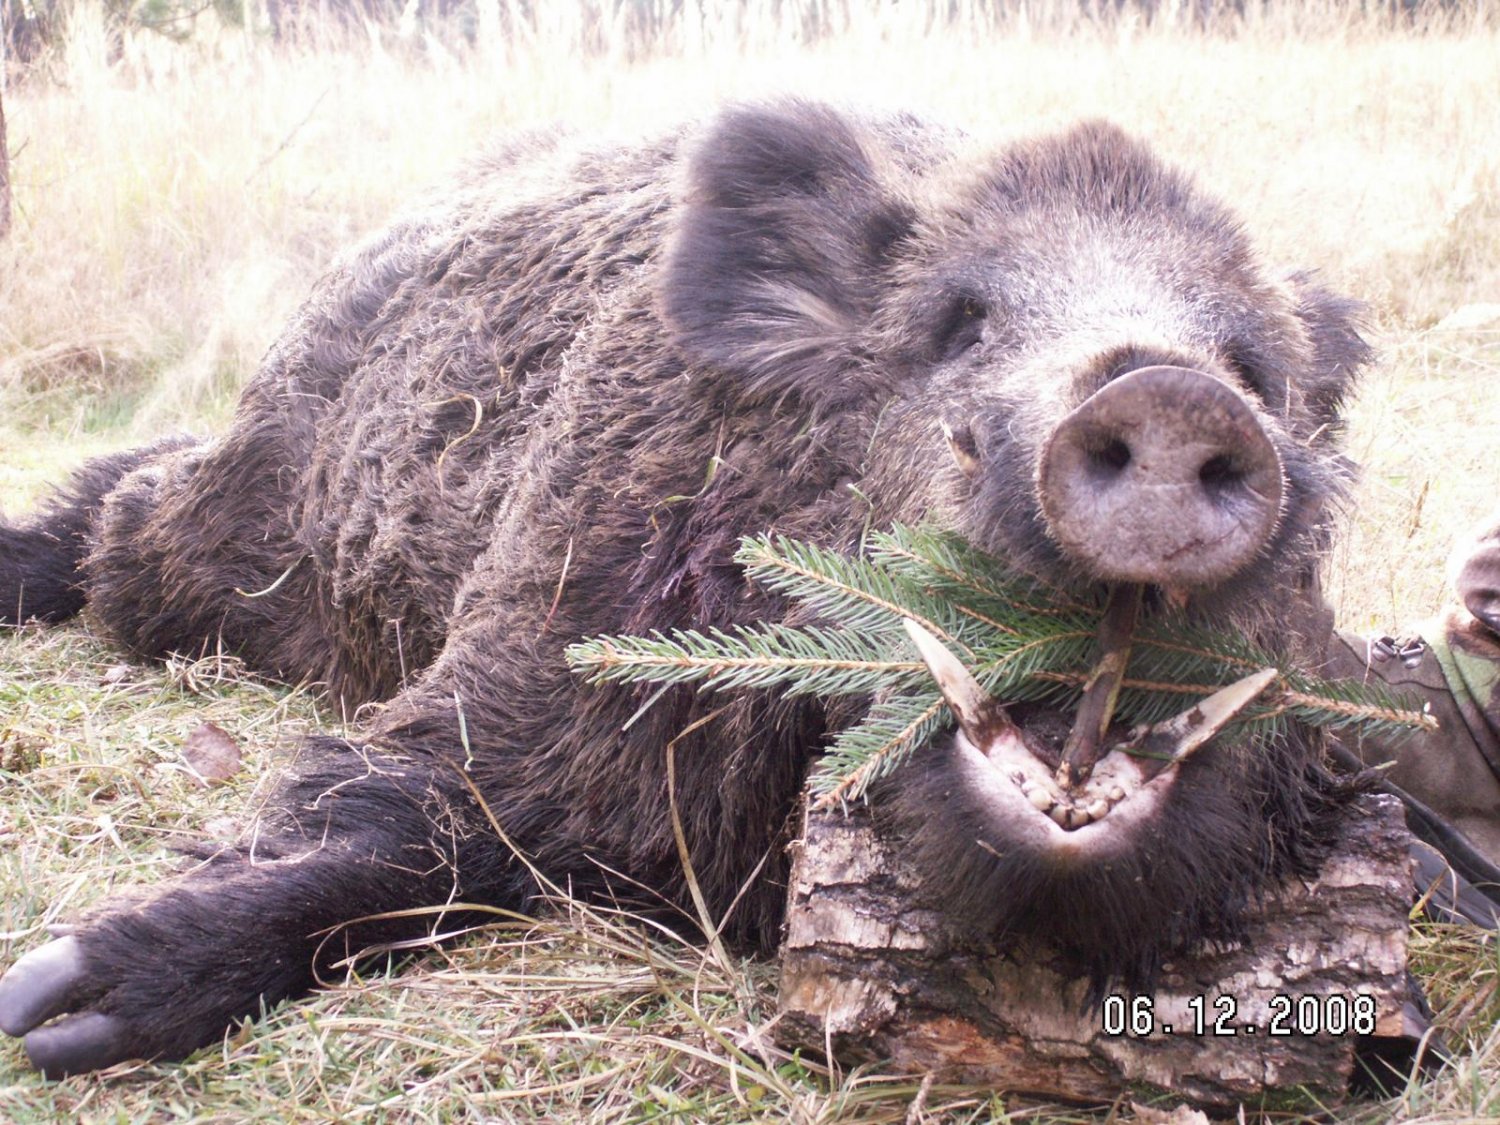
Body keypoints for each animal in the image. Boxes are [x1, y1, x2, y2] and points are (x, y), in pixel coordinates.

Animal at [0, 100, 1372, 1077]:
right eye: (960, 322)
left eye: (1254, 368)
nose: (1169, 390)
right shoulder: (537, 645)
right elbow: (409, 818)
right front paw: (52, 1012)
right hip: (233, 538)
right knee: (121, 508)